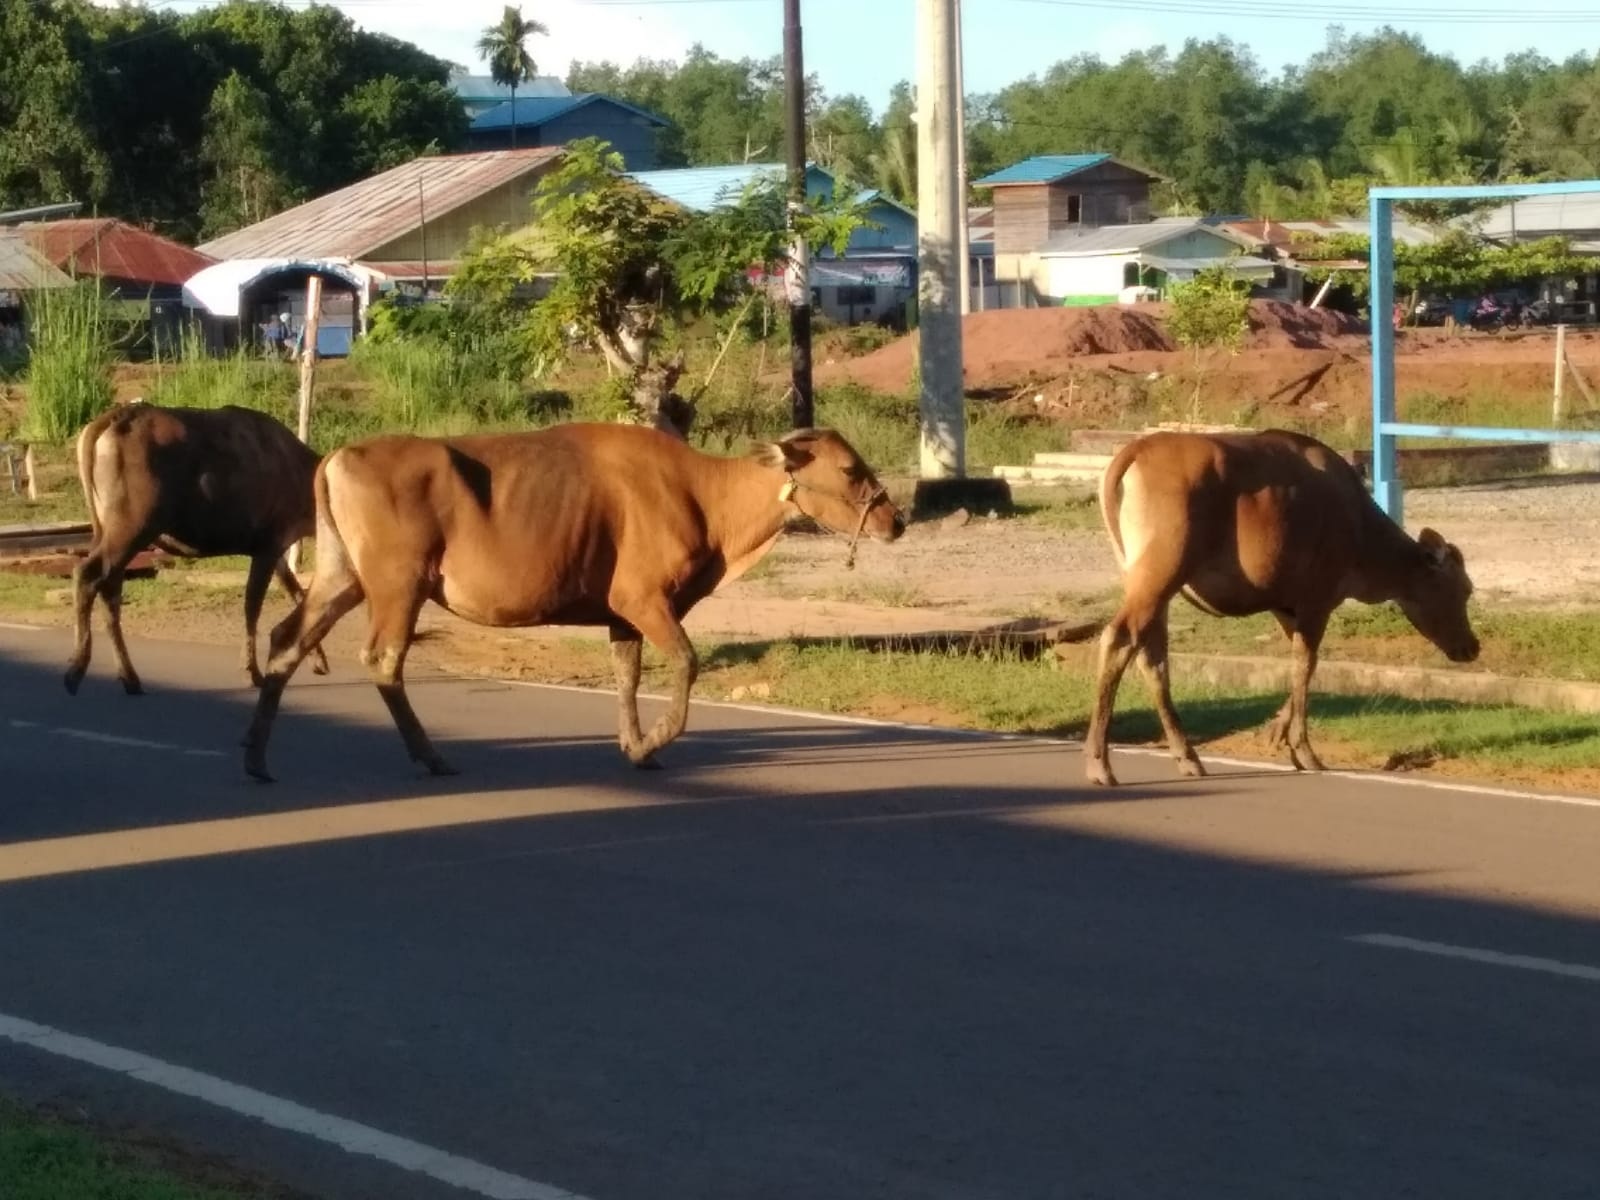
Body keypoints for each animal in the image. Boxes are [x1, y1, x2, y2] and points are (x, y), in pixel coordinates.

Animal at [65, 401, 331, 694]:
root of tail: (101, 425)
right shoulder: (269, 540)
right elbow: (253, 606)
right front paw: (251, 671)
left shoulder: (277, 547)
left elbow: (297, 594)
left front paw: (319, 660)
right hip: (133, 521)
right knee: (87, 573)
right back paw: (76, 670)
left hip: (104, 526)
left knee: (110, 588)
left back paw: (129, 677)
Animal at [241, 419, 908, 780]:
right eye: (850, 470)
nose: (896, 520)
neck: (704, 496)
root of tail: (338, 455)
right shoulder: (644, 598)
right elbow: (686, 663)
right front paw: (655, 741)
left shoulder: (622, 616)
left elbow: (627, 675)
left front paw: (635, 746)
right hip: (397, 583)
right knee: (383, 659)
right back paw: (430, 757)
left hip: (341, 575)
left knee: (286, 639)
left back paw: (256, 758)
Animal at [1081, 428, 1478, 790]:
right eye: (1461, 589)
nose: (1471, 647)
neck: (1364, 542)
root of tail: (1132, 452)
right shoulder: (1317, 599)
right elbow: (1306, 665)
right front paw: (1303, 749)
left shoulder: (1285, 606)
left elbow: (1298, 666)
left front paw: (1276, 730)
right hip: (1162, 571)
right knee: (1120, 639)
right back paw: (1100, 762)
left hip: (1148, 581)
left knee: (1153, 657)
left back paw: (1187, 755)